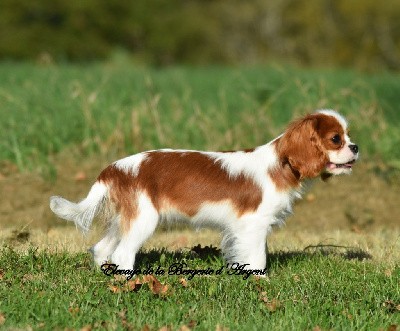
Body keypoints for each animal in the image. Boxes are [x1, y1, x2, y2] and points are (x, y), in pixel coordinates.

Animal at [50, 110, 360, 272]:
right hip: (143, 220)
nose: (356, 147)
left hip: (124, 220)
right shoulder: (253, 224)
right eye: (336, 139)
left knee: (102, 248)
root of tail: (114, 168)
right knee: (123, 254)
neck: (281, 164)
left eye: (348, 136)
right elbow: (258, 257)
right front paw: (260, 281)